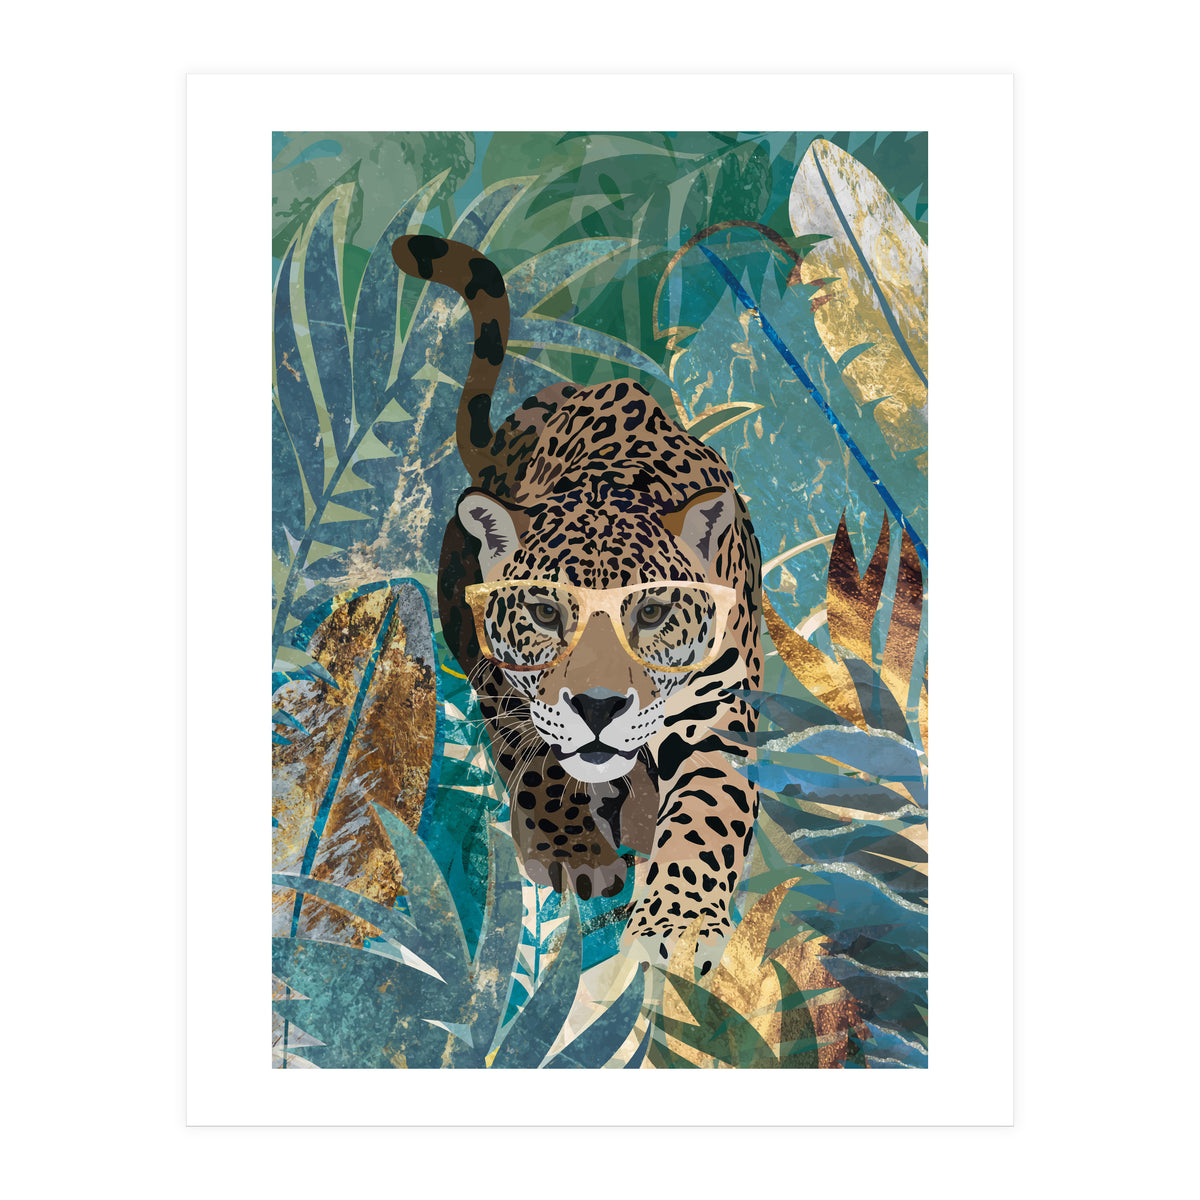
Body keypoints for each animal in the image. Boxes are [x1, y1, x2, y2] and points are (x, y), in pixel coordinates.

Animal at [392, 233, 763, 974]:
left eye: (650, 613)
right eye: (543, 613)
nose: (597, 708)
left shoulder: (718, 712)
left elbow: (707, 810)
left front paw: (678, 924)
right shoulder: (501, 676)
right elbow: (536, 756)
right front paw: (572, 850)